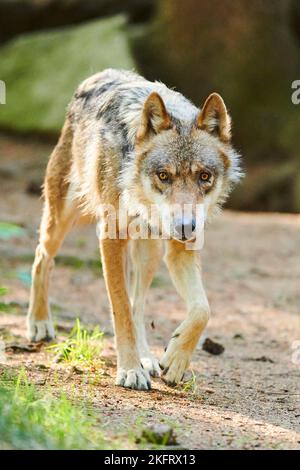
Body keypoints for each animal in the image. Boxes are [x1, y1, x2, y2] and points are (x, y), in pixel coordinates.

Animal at [26, 69, 241, 390]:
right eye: (163, 175)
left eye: (204, 176)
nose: (185, 226)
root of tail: (99, 75)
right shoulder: (110, 238)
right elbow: (121, 310)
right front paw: (129, 369)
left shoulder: (180, 250)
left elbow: (202, 310)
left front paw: (174, 360)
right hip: (63, 219)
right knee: (42, 256)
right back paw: (39, 323)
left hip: (148, 252)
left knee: (139, 304)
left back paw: (148, 358)